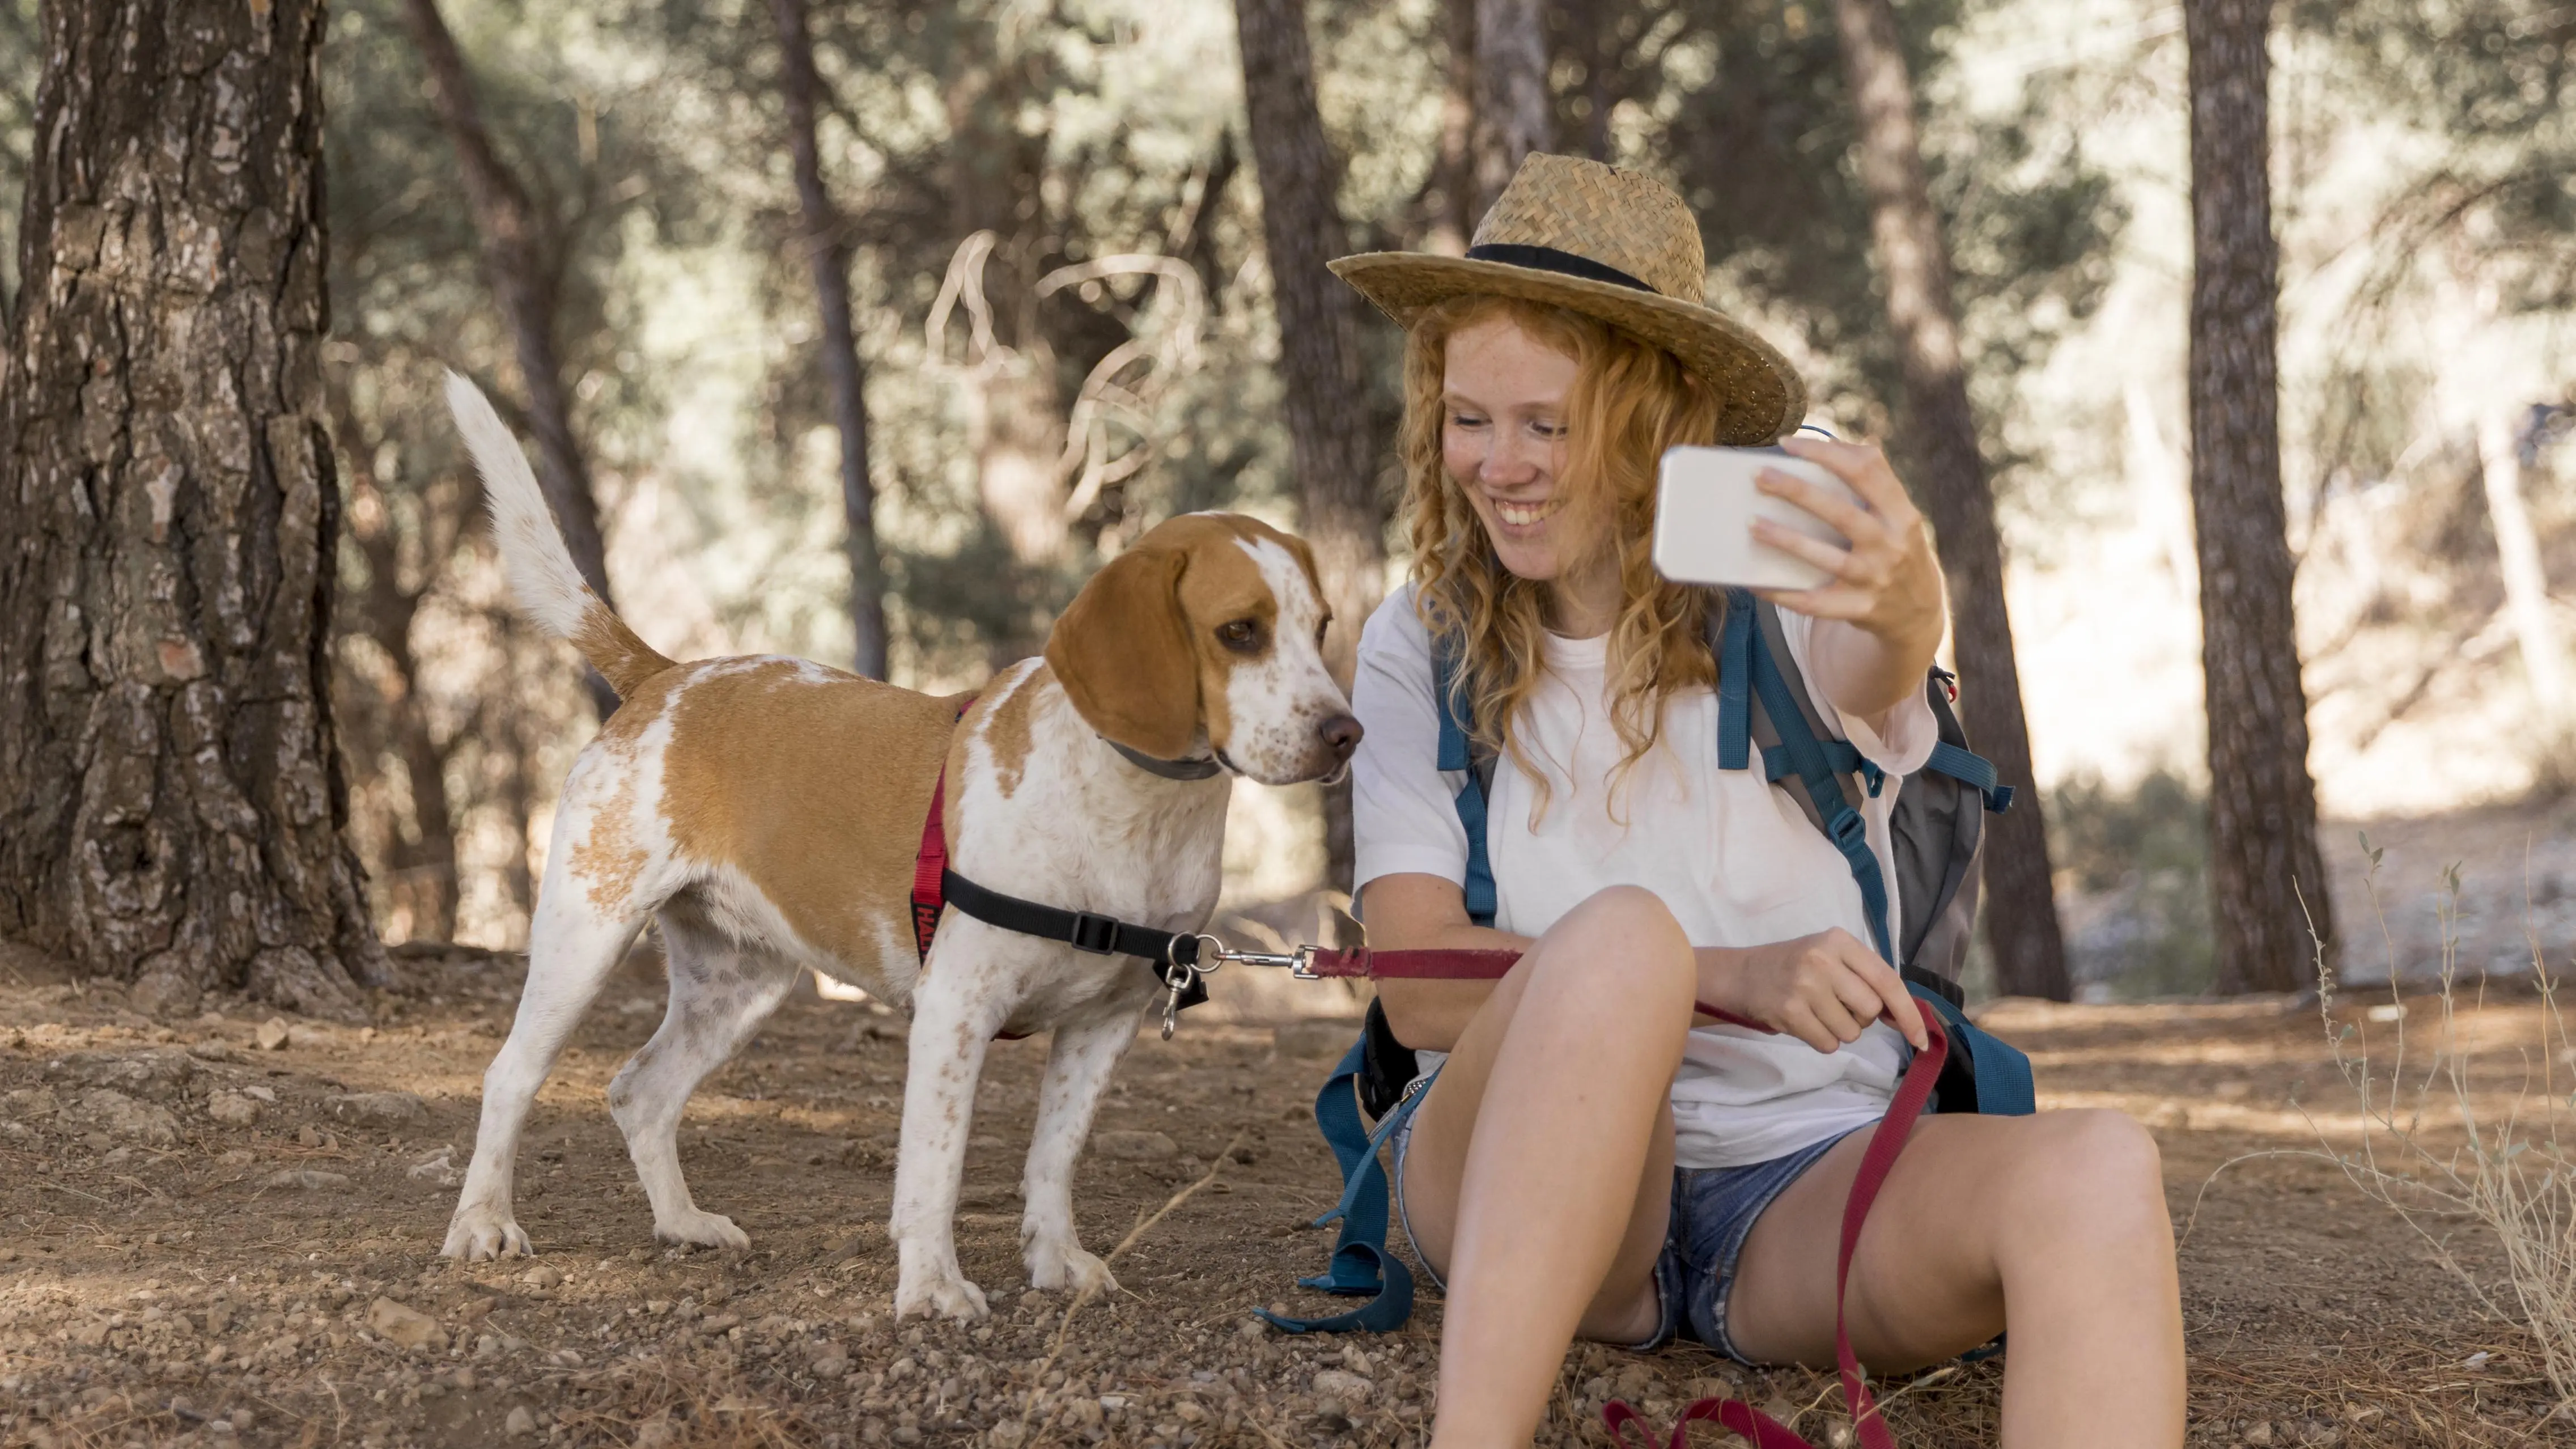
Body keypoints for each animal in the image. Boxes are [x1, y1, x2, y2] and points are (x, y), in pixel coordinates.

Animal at [438, 368, 1370, 1310]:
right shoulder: (956, 1012)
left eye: (1321, 626)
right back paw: (483, 1224)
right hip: (584, 939)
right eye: (1239, 631)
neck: (1135, 809)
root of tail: (665, 676)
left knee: (641, 1093)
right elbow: (936, 1167)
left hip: (739, 985)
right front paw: (932, 1288)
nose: (1346, 735)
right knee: (509, 1076)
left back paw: (683, 1224)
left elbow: (1053, 1161)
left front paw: (1056, 1263)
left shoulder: (1103, 1026)